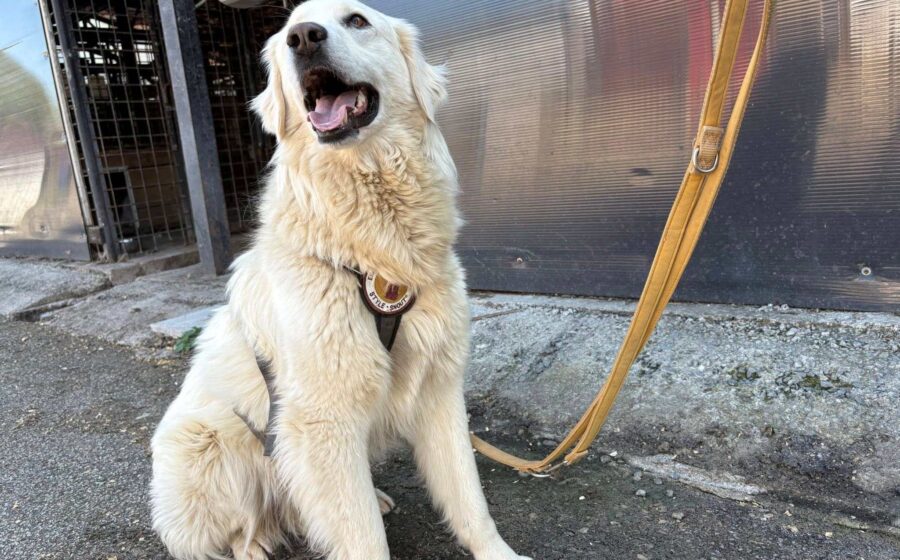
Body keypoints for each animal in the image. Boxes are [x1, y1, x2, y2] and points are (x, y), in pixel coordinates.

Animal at [150, 1, 533, 559]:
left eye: (356, 21)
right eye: (288, 32)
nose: (304, 38)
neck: (374, 250)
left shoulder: (439, 391)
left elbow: (469, 498)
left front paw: (496, 552)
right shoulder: (323, 419)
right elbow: (363, 538)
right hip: (209, 443)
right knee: (240, 528)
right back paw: (254, 546)